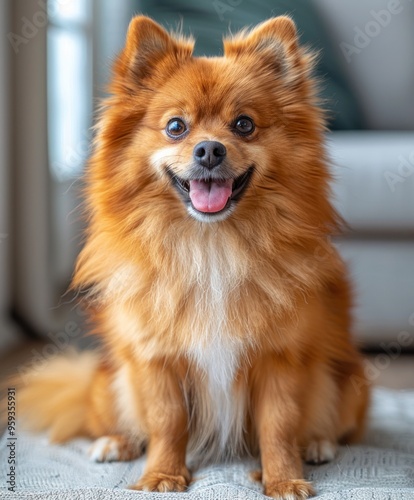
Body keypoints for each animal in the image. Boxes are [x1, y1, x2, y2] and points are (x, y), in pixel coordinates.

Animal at [17, 16, 370, 500]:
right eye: (176, 127)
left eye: (244, 125)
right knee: (110, 419)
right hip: (111, 380)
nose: (210, 149)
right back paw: (116, 442)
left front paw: (283, 478)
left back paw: (318, 443)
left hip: (350, 382)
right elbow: (167, 422)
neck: (210, 246)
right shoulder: (156, 359)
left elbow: (278, 426)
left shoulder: (281, 358)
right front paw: (162, 475)